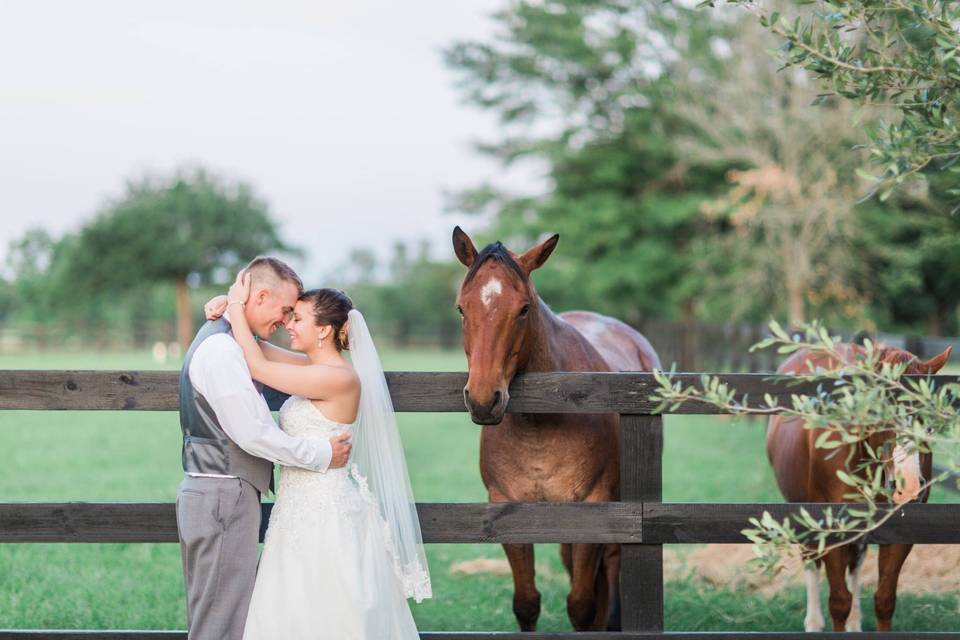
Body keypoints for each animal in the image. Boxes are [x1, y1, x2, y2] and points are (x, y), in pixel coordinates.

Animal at [450, 229, 660, 632]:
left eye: (523, 309)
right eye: (461, 309)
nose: (483, 399)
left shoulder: (594, 507)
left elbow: (581, 605)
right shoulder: (507, 508)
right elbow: (527, 603)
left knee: (613, 562)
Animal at [764, 342, 952, 632]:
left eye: (928, 417)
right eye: (879, 410)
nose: (908, 487)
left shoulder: (901, 533)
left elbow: (884, 600)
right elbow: (839, 602)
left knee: (855, 563)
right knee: (811, 561)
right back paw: (814, 622)